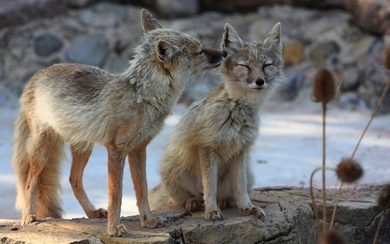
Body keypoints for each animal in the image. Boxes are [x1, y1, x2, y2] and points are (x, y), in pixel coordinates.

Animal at [10, 8, 225, 235]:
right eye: (200, 51)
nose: (224, 53)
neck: (142, 97)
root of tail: (36, 75)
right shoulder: (116, 149)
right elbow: (117, 195)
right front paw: (114, 228)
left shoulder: (138, 148)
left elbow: (142, 190)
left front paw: (148, 221)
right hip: (42, 150)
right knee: (30, 181)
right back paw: (28, 216)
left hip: (83, 149)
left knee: (73, 180)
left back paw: (92, 212)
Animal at [149, 23, 284, 221]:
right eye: (244, 66)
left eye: (267, 65)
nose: (259, 81)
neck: (236, 110)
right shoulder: (207, 148)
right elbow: (209, 186)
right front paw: (211, 210)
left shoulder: (240, 151)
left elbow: (240, 187)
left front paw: (248, 207)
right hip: (173, 169)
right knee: (189, 197)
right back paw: (194, 202)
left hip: (246, 173)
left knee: (229, 192)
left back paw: (223, 201)